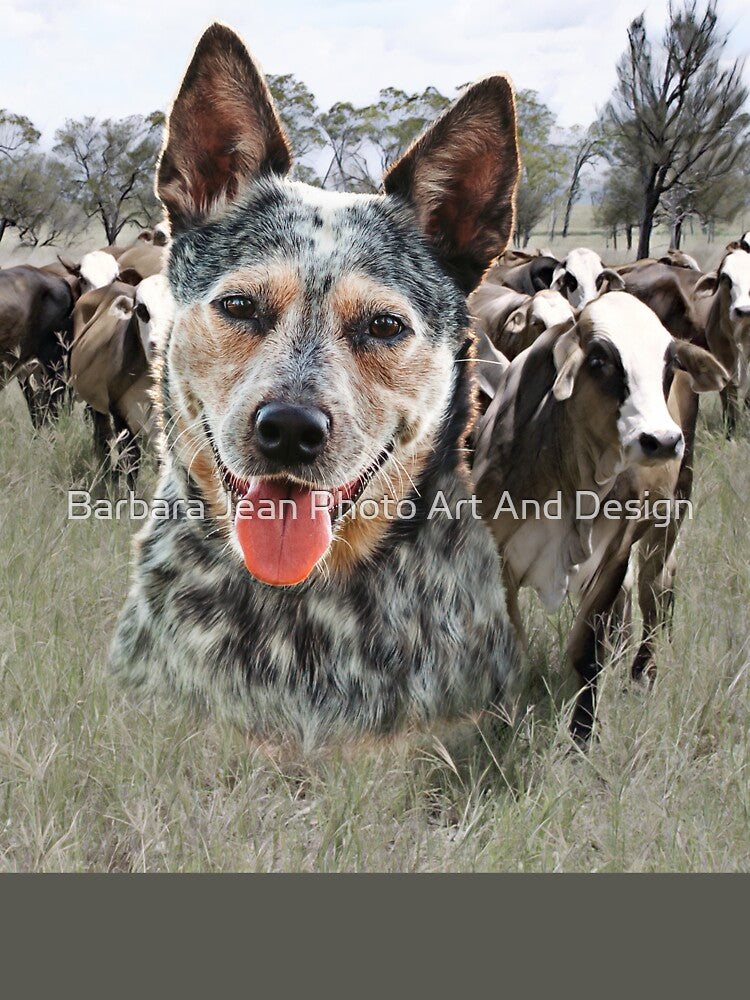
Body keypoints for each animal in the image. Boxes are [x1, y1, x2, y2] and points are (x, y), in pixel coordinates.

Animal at [473, 292, 728, 741]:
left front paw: (581, 736)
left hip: (671, 513)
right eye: (598, 359)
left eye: (668, 366)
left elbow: (588, 653)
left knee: (655, 590)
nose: (662, 440)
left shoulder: (614, 555)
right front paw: (501, 727)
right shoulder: (500, 558)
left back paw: (643, 670)